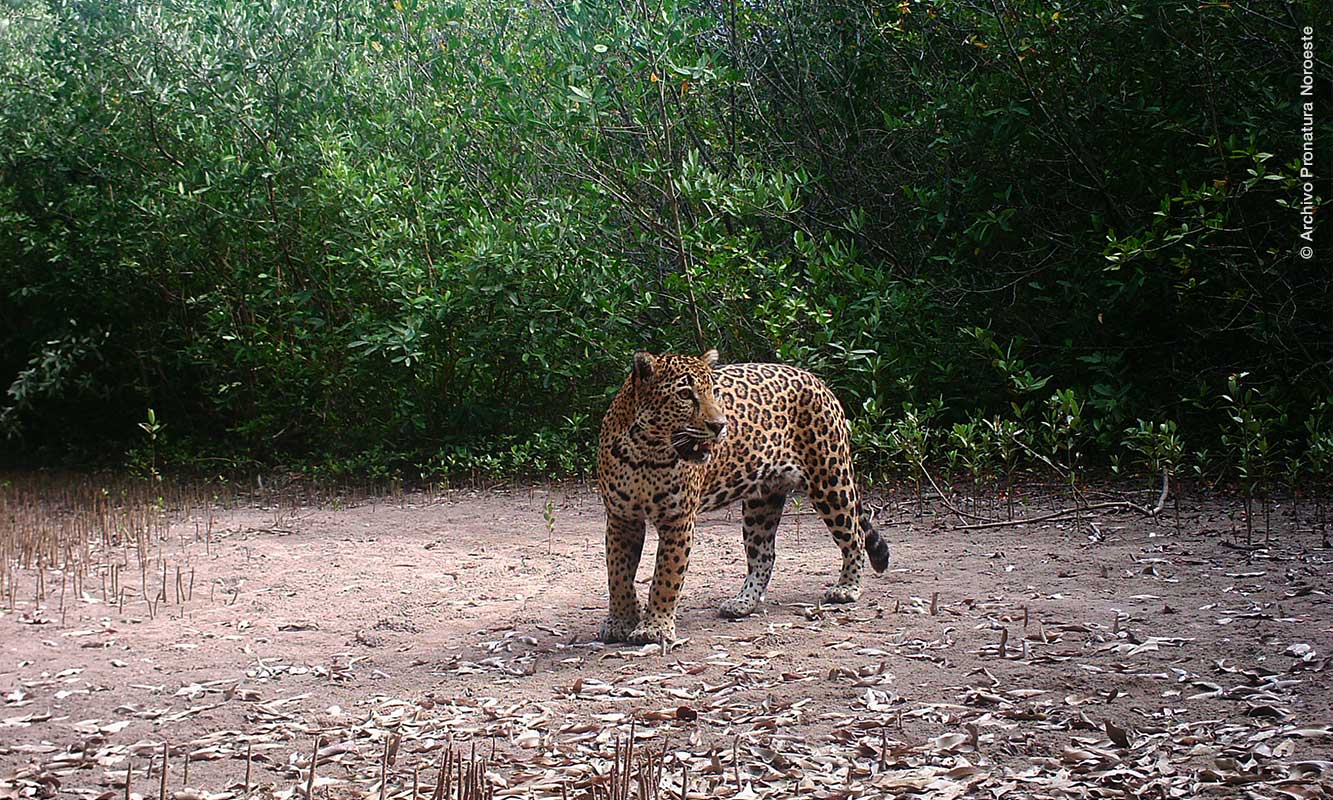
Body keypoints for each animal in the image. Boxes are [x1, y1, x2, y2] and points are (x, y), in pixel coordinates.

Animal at [596, 348, 891, 644]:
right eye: (685, 394)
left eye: (714, 392)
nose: (719, 426)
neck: (647, 453)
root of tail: (816, 380)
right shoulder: (622, 517)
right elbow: (618, 574)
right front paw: (621, 621)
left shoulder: (677, 519)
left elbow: (667, 576)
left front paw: (654, 626)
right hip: (762, 502)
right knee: (764, 555)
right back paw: (742, 602)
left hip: (830, 480)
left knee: (854, 536)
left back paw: (847, 588)